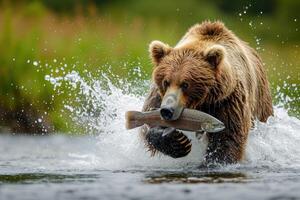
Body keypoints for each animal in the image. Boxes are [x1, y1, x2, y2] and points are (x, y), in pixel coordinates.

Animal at [139, 20, 274, 164]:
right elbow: (147, 124)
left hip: (261, 104)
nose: (167, 110)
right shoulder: (159, 96)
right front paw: (178, 142)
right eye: (166, 82)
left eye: (185, 84)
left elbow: (228, 139)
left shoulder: (228, 101)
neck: (202, 102)